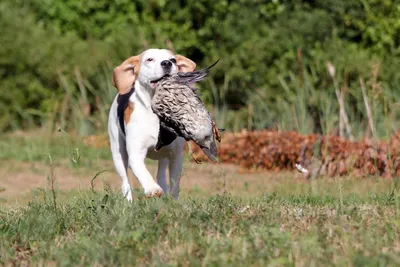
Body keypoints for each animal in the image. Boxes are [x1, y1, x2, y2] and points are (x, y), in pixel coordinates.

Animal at [109, 48, 197, 201]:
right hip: (118, 153)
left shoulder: (175, 156)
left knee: (161, 171)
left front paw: (173, 200)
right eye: (149, 59)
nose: (167, 63)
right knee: (125, 181)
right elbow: (142, 172)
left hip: (164, 155)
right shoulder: (135, 155)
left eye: (173, 60)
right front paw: (152, 189)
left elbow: (175, 181)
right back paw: (129, 201)